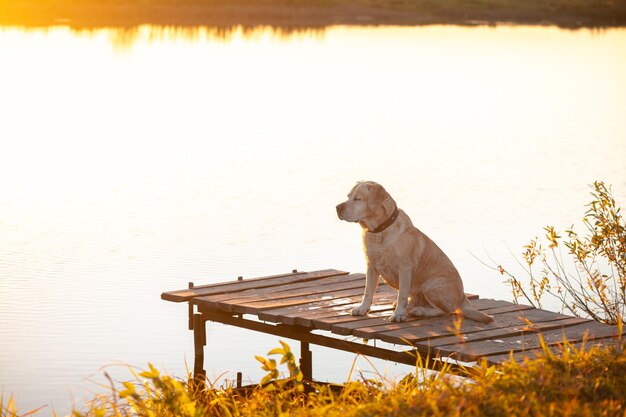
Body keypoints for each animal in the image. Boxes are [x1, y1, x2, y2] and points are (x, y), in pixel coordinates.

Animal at [336, 180, 492, 324]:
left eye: (358, 199)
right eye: (348, 196)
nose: (337, 207)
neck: (379, 231)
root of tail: (464, 299)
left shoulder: (404, 269)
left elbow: (402, 295)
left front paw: (399, 314)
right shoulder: (371, 266)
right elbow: (368, 291)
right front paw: (362, 309)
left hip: (432, 287)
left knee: (448, 311)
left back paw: (420, 311)